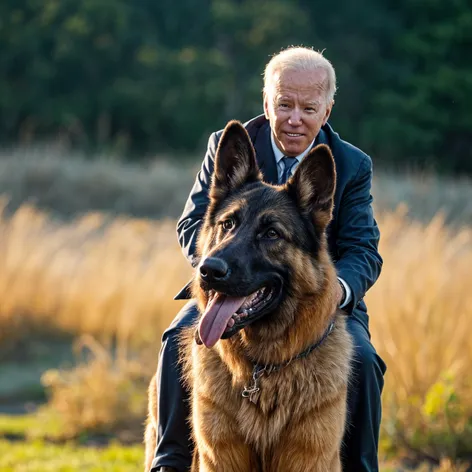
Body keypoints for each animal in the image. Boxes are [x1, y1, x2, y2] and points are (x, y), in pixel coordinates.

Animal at [146, 120, 352, 470]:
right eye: (228, 223)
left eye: (271, 234)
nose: (208, 271)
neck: (263, 370)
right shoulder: (220, 457)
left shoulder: (308, 457)